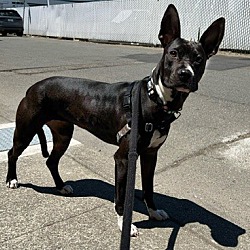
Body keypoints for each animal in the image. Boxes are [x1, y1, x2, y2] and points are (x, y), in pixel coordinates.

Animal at [5, 5, 225, 236]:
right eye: (173, 53)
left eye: (199, 59)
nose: (185, 73)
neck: (155, 99)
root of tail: (34, 87)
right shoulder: (124, 158)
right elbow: (122, 196)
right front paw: (124, 224)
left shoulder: (150, 155)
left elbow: (149, 188)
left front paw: (153, 212)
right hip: (26, 130)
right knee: (13, 153)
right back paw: (12, 179)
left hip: (63, 135)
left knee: (51, 161)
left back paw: (60, 185)